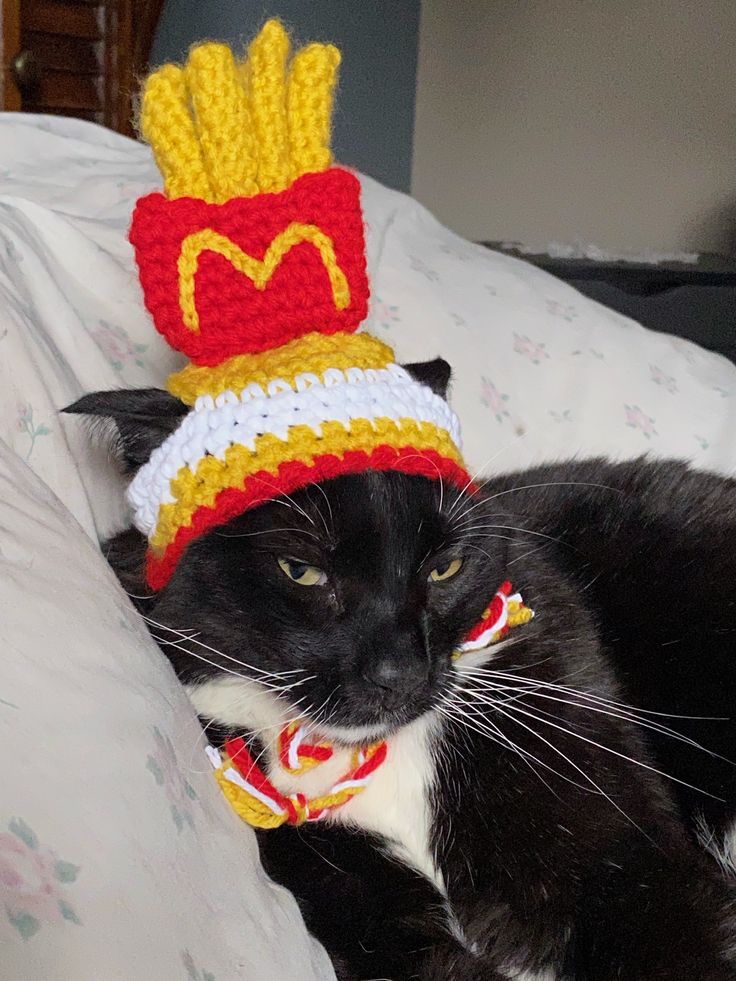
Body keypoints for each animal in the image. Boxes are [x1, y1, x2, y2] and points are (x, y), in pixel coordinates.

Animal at [64, 362, 736, 980]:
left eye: (446, 567)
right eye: (301, 571)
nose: (402, 671)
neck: (372, 756)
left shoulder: (628, 854)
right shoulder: (359, 915)